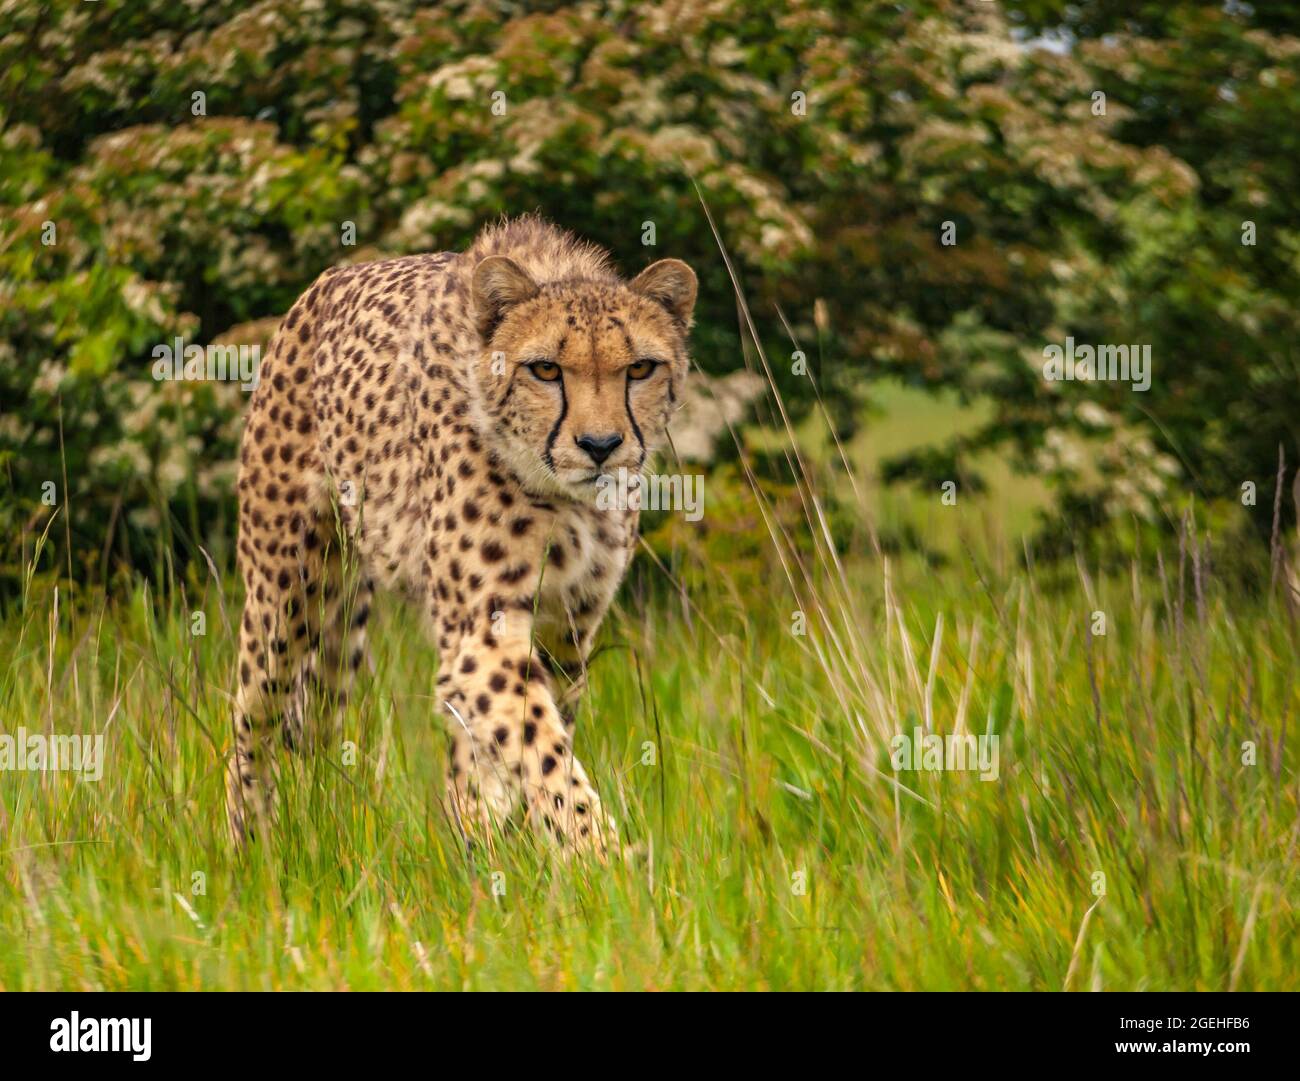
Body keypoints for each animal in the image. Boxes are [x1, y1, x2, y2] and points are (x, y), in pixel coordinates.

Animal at [231, 215, 702, 857]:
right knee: (251, 717)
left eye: (639, 368)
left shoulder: (565, 634)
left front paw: (509, 842)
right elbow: (544, 754)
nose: (601, 446)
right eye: (545, 369)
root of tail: (328, 280)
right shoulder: (484, 627)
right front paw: (604, 858)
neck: (566, 499)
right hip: (285, 593)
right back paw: (250, 846)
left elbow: (522, 745)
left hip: (341, 618)